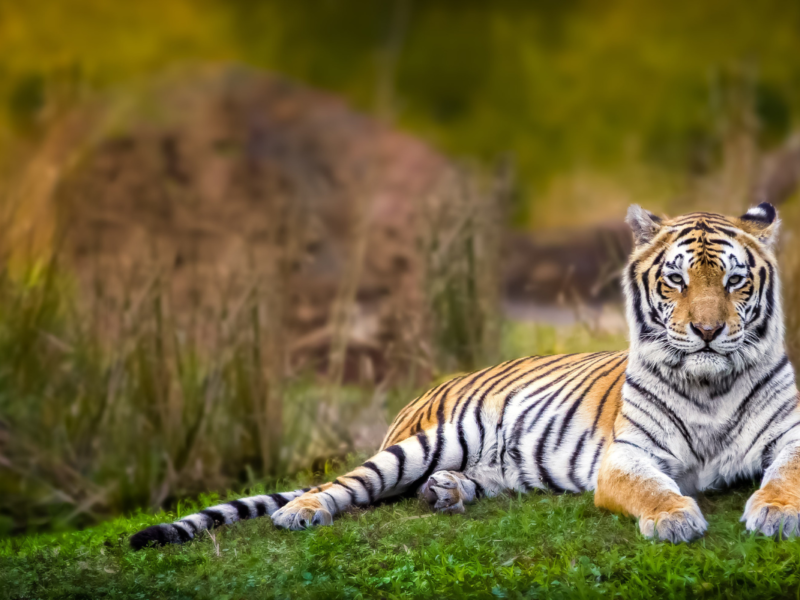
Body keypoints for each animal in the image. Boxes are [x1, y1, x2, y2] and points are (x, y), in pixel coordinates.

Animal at [131, 202, 800, 549]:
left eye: (735, 281)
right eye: (676, 281)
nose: (708, 331)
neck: (710, 386)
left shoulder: (792, 435)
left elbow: (786, 474)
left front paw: (776, 513)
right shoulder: (628, 454)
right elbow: (651, 487)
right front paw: (673, 518)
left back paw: (447, 492)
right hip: (425, 442)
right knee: (353, 484)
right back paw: (304, 510)